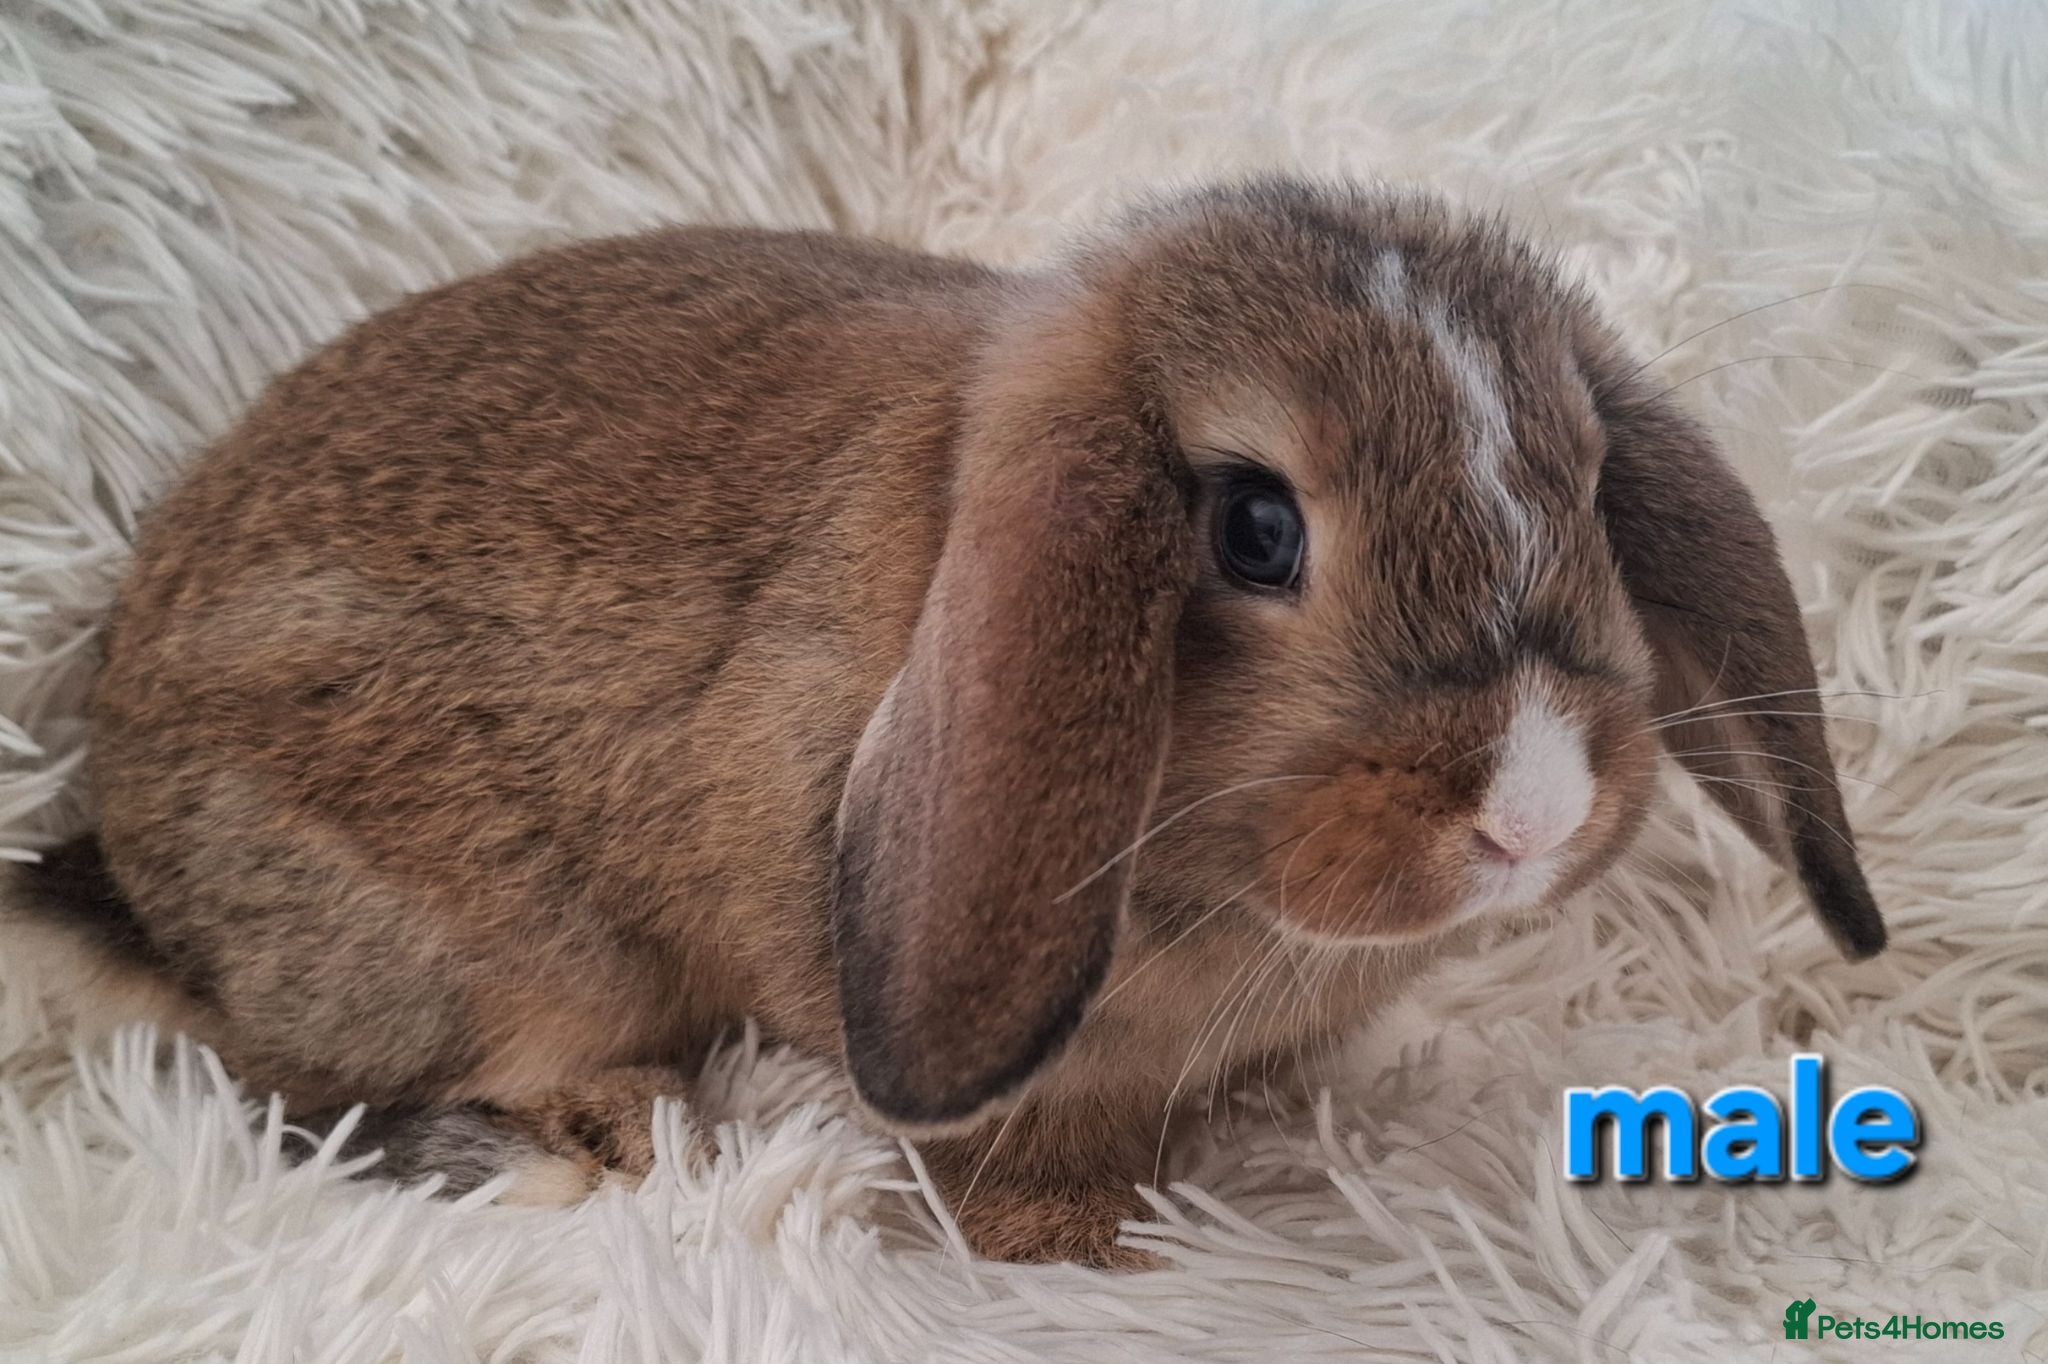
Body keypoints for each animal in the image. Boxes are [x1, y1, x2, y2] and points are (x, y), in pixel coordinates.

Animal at [10, 176, 1885, 1268]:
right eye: (1252, 527)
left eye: (1585, 482)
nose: (1533, 806)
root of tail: (130, 875)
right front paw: (1076, 1244)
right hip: (477, 937)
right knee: (305, 1086)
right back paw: (600, 1140)